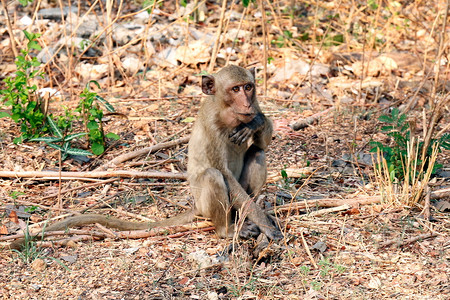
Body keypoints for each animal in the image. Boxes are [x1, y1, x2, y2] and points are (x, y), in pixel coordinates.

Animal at [7, 65, 282, 251]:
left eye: (248, 87)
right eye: (235, 89)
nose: (246, 103)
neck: (229, 115)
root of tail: (197, 207)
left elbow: (262, 143)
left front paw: (256, 122)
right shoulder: (212, 126)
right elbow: (222, 173)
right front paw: (265, 224)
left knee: (257, 153)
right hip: (204, 204)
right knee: (213, 176)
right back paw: (227, 229)